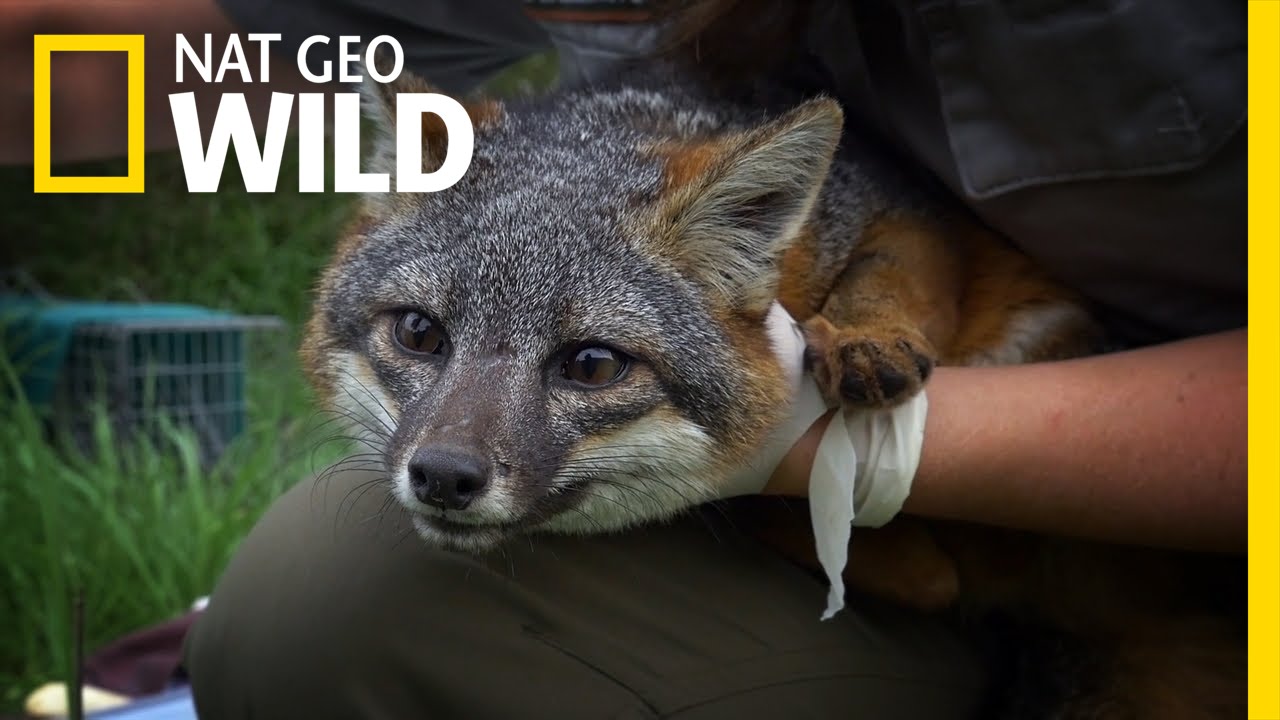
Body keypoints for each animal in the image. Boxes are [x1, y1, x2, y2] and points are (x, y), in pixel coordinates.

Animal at [299, 46, 1244, 720]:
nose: (443, 476)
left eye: (591, 364)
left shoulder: (909, 217)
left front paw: (865, 339)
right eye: (420, 333)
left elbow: (887, 279)